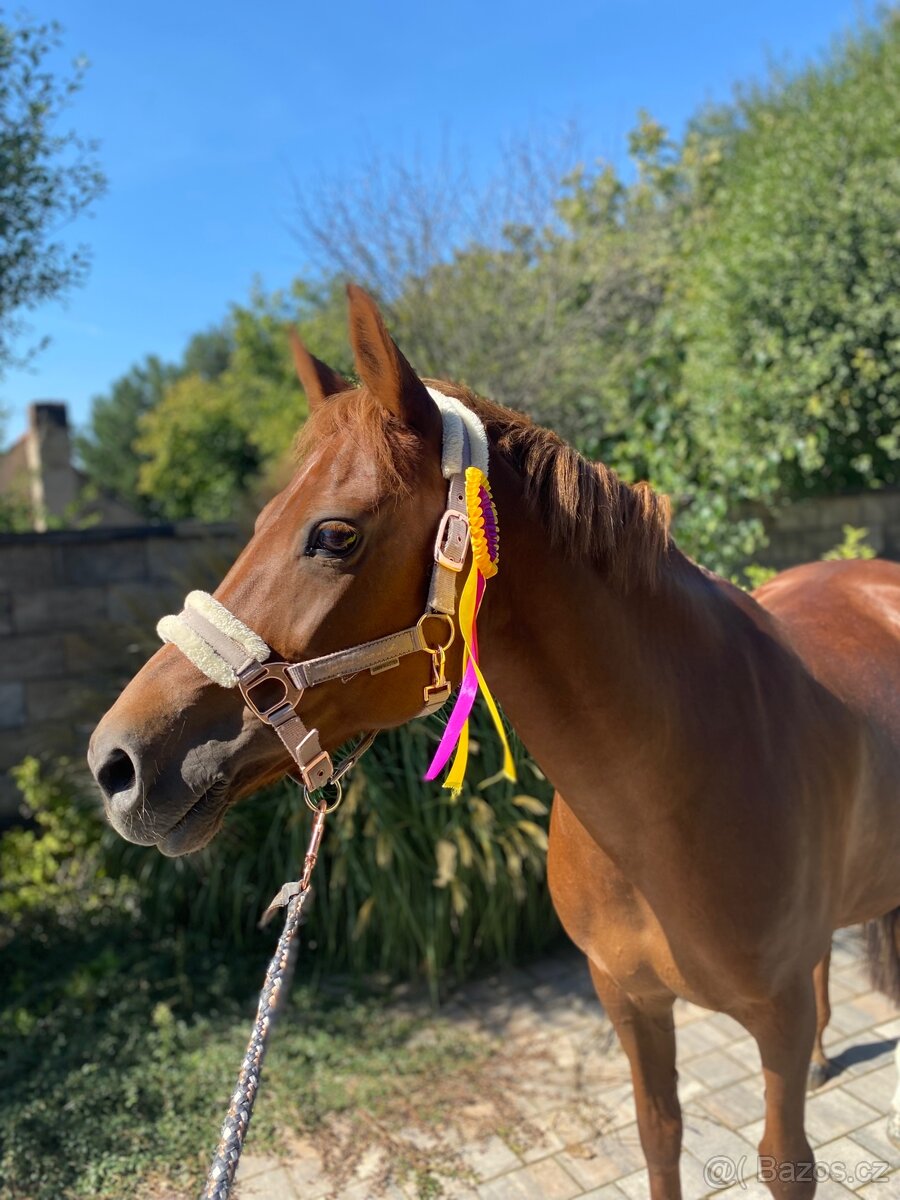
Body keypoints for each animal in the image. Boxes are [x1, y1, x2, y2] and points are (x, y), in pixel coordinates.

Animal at [88, 285, 900, 1199]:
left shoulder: (776, 1020)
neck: (678, 789)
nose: (116, 764)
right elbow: (660, 1135)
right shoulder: (629, 1001)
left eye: (333, 535)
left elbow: (782, 1160)